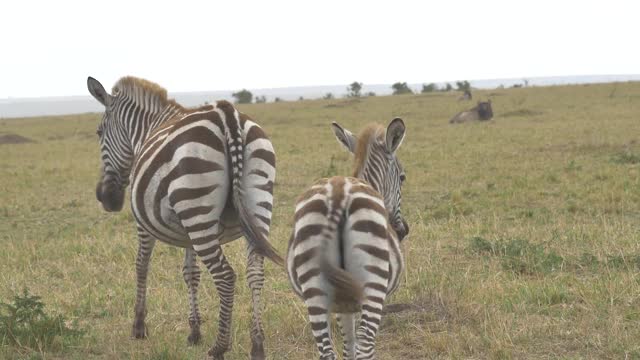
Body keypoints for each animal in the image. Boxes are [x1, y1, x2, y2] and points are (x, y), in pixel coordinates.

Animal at [86, 74, 282, 358]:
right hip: (256, 201)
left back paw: (219, 347)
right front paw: (194, 331)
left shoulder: (143, 224)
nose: (106, 198)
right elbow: (191, 273)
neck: (148, 128)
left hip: (198, 208)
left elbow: (141, 265)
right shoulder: (186, 229)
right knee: (255, 272)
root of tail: (228, 116)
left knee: (225, 276)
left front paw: (139, 326)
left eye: (99, 133)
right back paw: (257, 345)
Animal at [286, 119, 408, 360]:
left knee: (327, 352)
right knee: (365, 347)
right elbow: (354, 346)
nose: (403, 230)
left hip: (315, 288)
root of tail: (339, 193)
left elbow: (347, 346)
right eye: (402, 178)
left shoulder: (343, 304)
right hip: (373, 285)